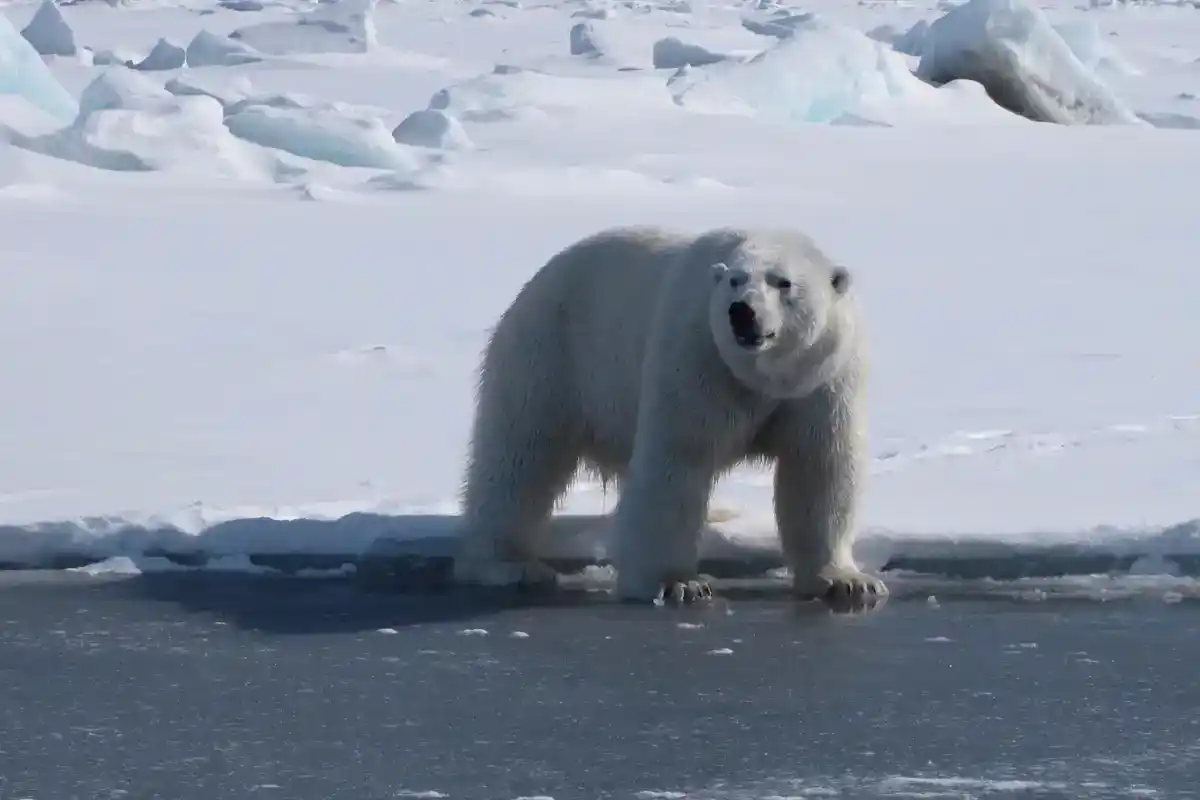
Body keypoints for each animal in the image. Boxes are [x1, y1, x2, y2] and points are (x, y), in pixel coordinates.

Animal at [453, 224, 888, 608]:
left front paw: (847, 582)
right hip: (551, 353)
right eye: (735, 280)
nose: (741, 312)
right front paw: (678, 584)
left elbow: (818, 467)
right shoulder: (697, 356)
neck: (765, 377)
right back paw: (509, 565)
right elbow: (678, 461)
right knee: (521, 456)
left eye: (783, 283)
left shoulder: (824, 380)